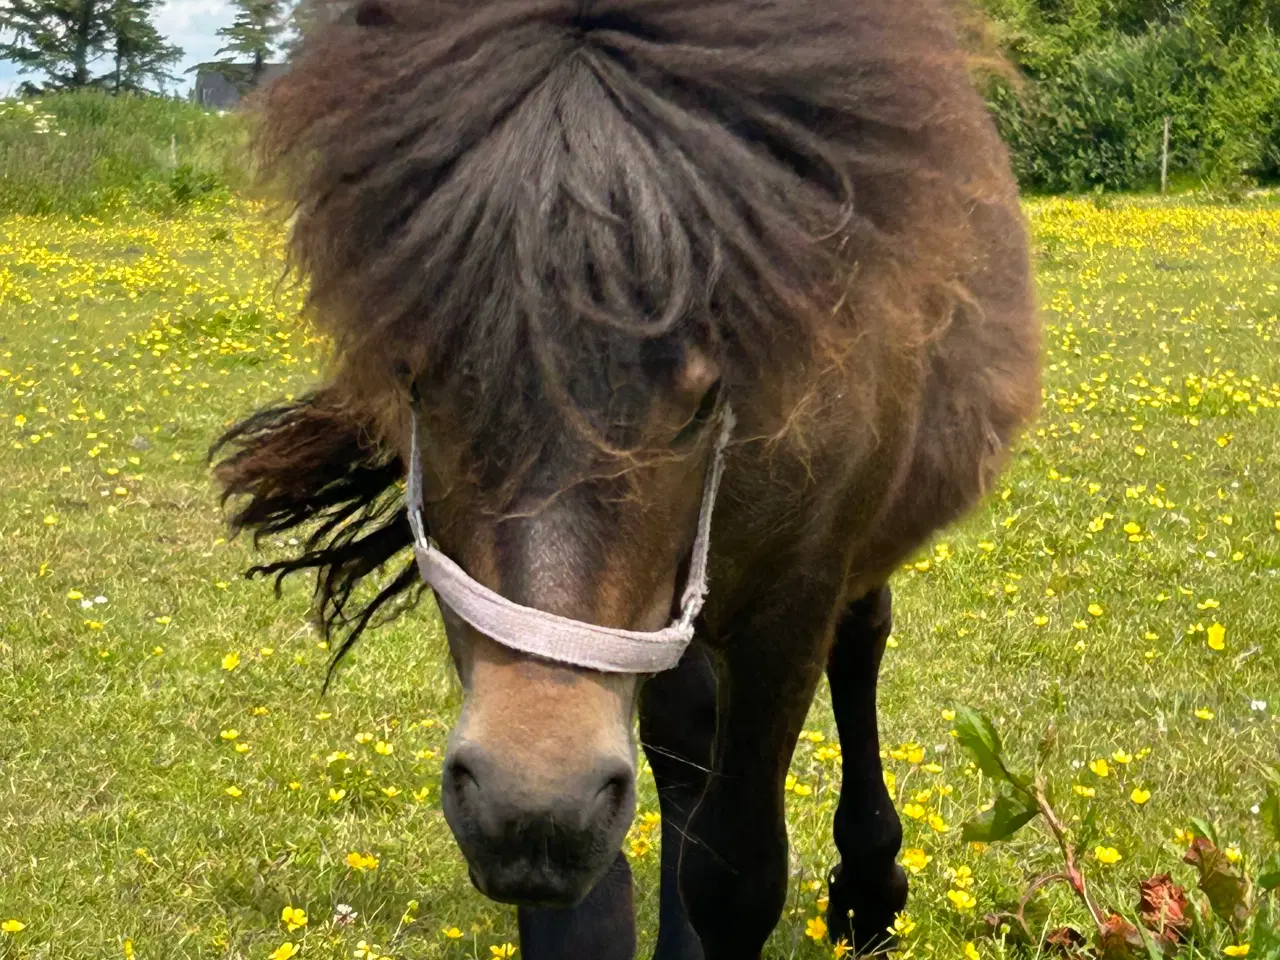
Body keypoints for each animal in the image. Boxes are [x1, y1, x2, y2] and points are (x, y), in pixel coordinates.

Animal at [212, 3, 1039, 957]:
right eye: (417, 384)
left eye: (705, 400)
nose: (535, 812)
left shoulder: (795, 596)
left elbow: (738, 872)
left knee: (860, 645)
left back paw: (869, 890)